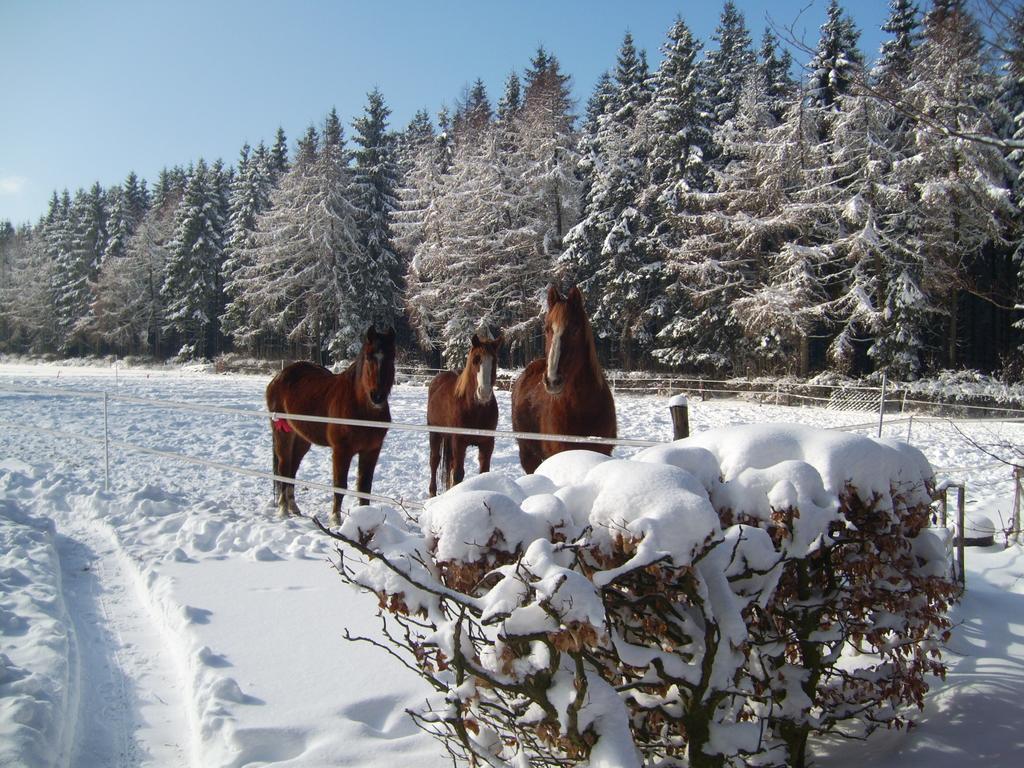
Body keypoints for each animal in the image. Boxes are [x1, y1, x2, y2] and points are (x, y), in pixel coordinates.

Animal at [264, 327, 395, 528]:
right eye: (368, 357)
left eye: (391, 358)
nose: (377, 396)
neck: (361, 409)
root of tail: (279, 377)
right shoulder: (341, 451)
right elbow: (340, 485)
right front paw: (335, 520)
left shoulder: (372, 450)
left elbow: (365, 487)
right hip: (283, 434)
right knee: (284, 468)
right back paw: (283, 509)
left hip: (301, 439)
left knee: (292, 468)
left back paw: (294, 507)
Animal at [425, 333, 501, 495]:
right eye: (475, 360)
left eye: (495, 361)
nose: (484, 393)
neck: (476, 409)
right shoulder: (459, 442)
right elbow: (458, 474)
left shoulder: (487, 443)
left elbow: (484, 472)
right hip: (435, 434)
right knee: (434, 461)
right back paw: (432, 493)